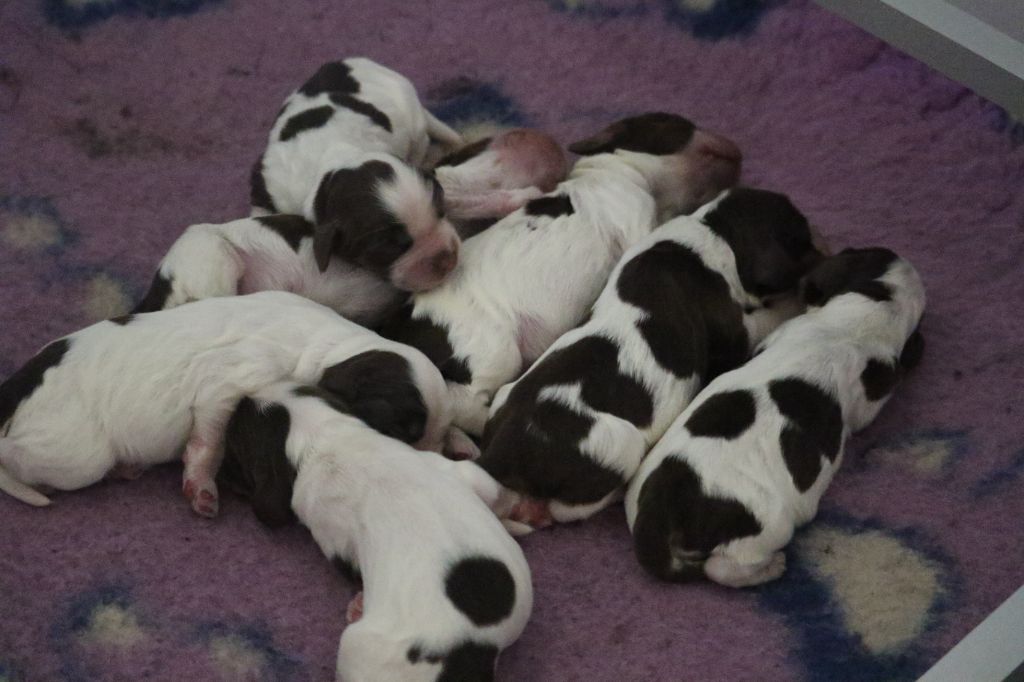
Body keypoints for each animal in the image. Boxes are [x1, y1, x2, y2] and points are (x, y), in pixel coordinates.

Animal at [0, 288, 452, 516]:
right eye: (402, 432)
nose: (434, 458)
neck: (336, 346)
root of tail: (14, 390)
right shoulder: (230, 381)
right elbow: (209, 442)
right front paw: (202, 487)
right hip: (76, 456)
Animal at [219, 378, 532, 675]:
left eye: (234, 439)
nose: (243, 396)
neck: (327, 435)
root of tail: (476, 649)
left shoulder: (331, 533)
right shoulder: (454, 469)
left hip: (356, 647)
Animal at [477, 187, 823, 532]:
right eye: (802, 239)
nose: (824, 248)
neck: (714, 229)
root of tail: (495, 455)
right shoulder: (736, 332)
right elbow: (767, 318)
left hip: (506, 397)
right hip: (620, 443)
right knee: (568, 510)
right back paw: (615, 494)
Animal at [622, 246, 929, 585]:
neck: (861, 315)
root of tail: (658, 515)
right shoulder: (874, 393)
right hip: (770, 526)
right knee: (722, 568)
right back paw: (772, 567)